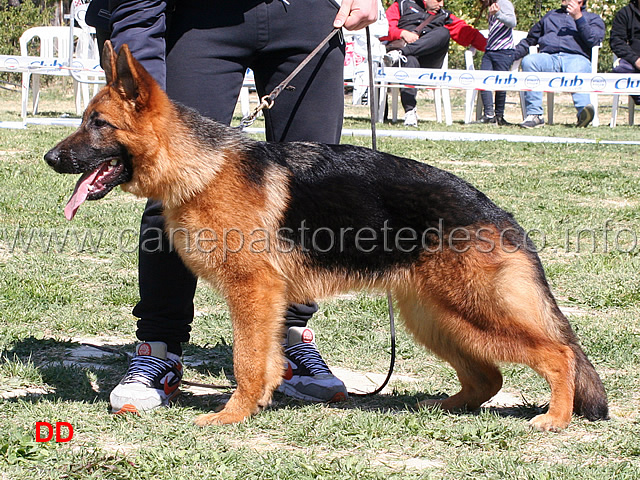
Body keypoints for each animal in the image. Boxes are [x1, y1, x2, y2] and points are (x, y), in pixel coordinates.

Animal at [46, 42, 608, 432]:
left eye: (98, 124)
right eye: (84, 120)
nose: (51, 159)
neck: (200, 166)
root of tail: (496, 211)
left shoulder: (253, 293)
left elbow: (247, 361)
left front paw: (232, 415)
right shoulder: (265, 302)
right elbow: (266, 360)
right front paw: (257, 404)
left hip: (471, 310)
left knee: (559, 353)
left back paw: (556, 419)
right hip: (437, 317)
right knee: (490, 376)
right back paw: (438, 406)